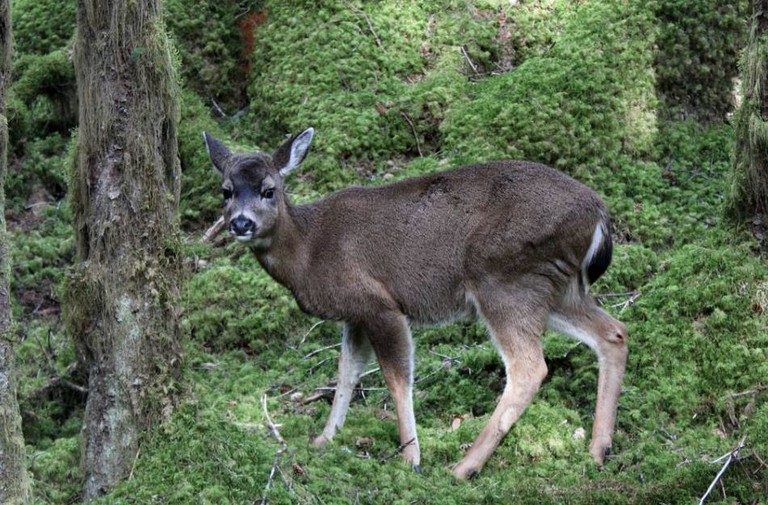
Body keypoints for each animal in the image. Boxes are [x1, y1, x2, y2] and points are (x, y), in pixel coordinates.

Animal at [204, 128, 632, 478]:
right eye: (226, 191)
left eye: (269, 189)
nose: (240, 223)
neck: (309, 251)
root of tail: (598, 213)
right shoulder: (354, 314)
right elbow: (346, 372)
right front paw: (324, 440)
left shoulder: (380, 304)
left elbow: (396, 378)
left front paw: (411, 458)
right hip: (555, 286)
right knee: (613, 332)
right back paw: (598, 449)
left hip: (505, 280)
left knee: (529, 368)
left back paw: (463, 468)